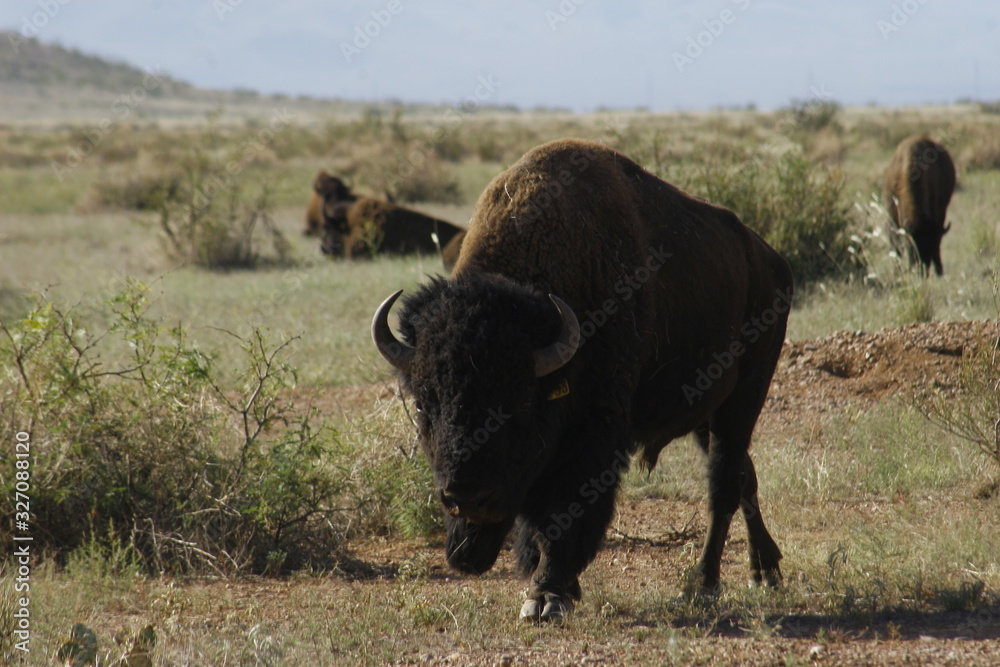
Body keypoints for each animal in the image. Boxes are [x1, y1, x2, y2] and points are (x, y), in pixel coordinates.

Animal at [372, 138, 792, 624]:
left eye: (521, 403)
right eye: (424, 405)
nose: (467, 495)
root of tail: (771, 260)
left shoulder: (592, 434)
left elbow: (565, 511)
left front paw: (547, 595)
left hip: (745, 397)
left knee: (723, 483)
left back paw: (702, 585)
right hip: (707, 411)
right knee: (745, 475)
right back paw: (765, 570)